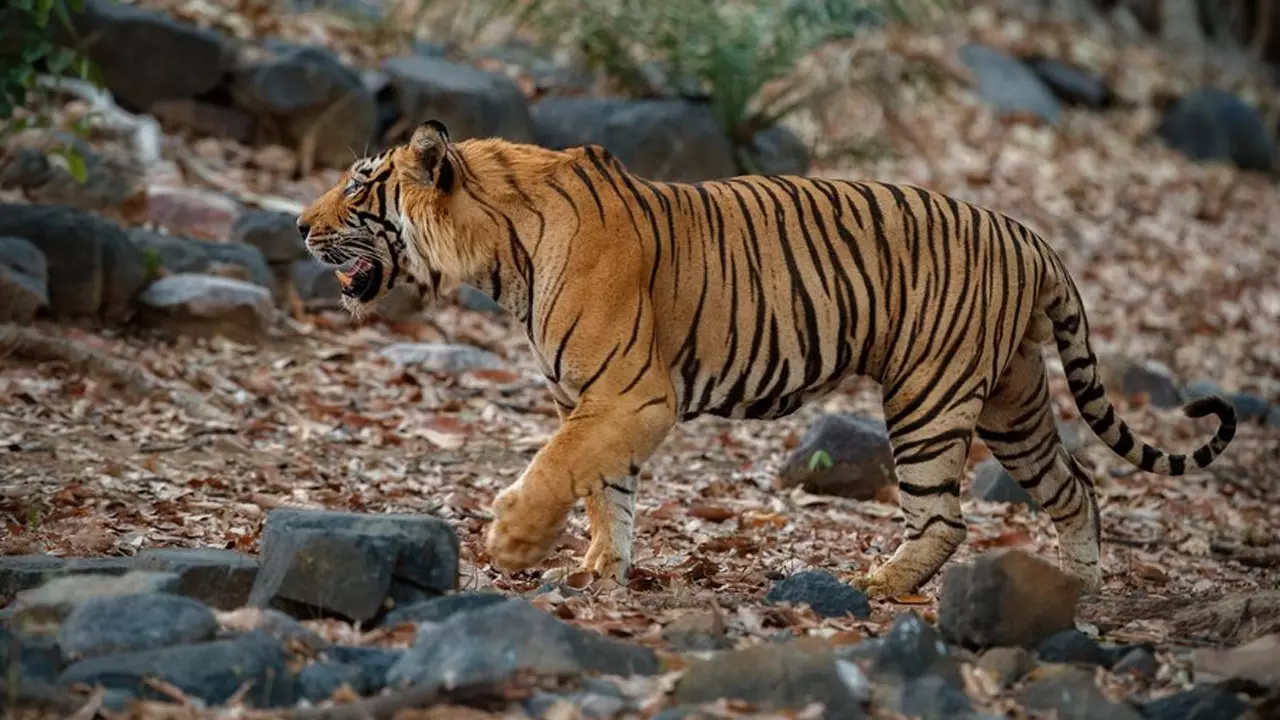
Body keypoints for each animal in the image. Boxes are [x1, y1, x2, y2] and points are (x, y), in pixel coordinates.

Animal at [294, 120, 1233, 597]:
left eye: (360, 184)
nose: (299, 226)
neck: (500, 256)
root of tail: (1033, 238)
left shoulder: (631, 394)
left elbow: (561, 465)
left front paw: (515, 541)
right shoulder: (594, 399)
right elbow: (605, 485)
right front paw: (603, 566)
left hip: (929, 399)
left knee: (945, 517)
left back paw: (879, 582)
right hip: (1013, 401)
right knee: (1076, 490)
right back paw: (1080, 593)